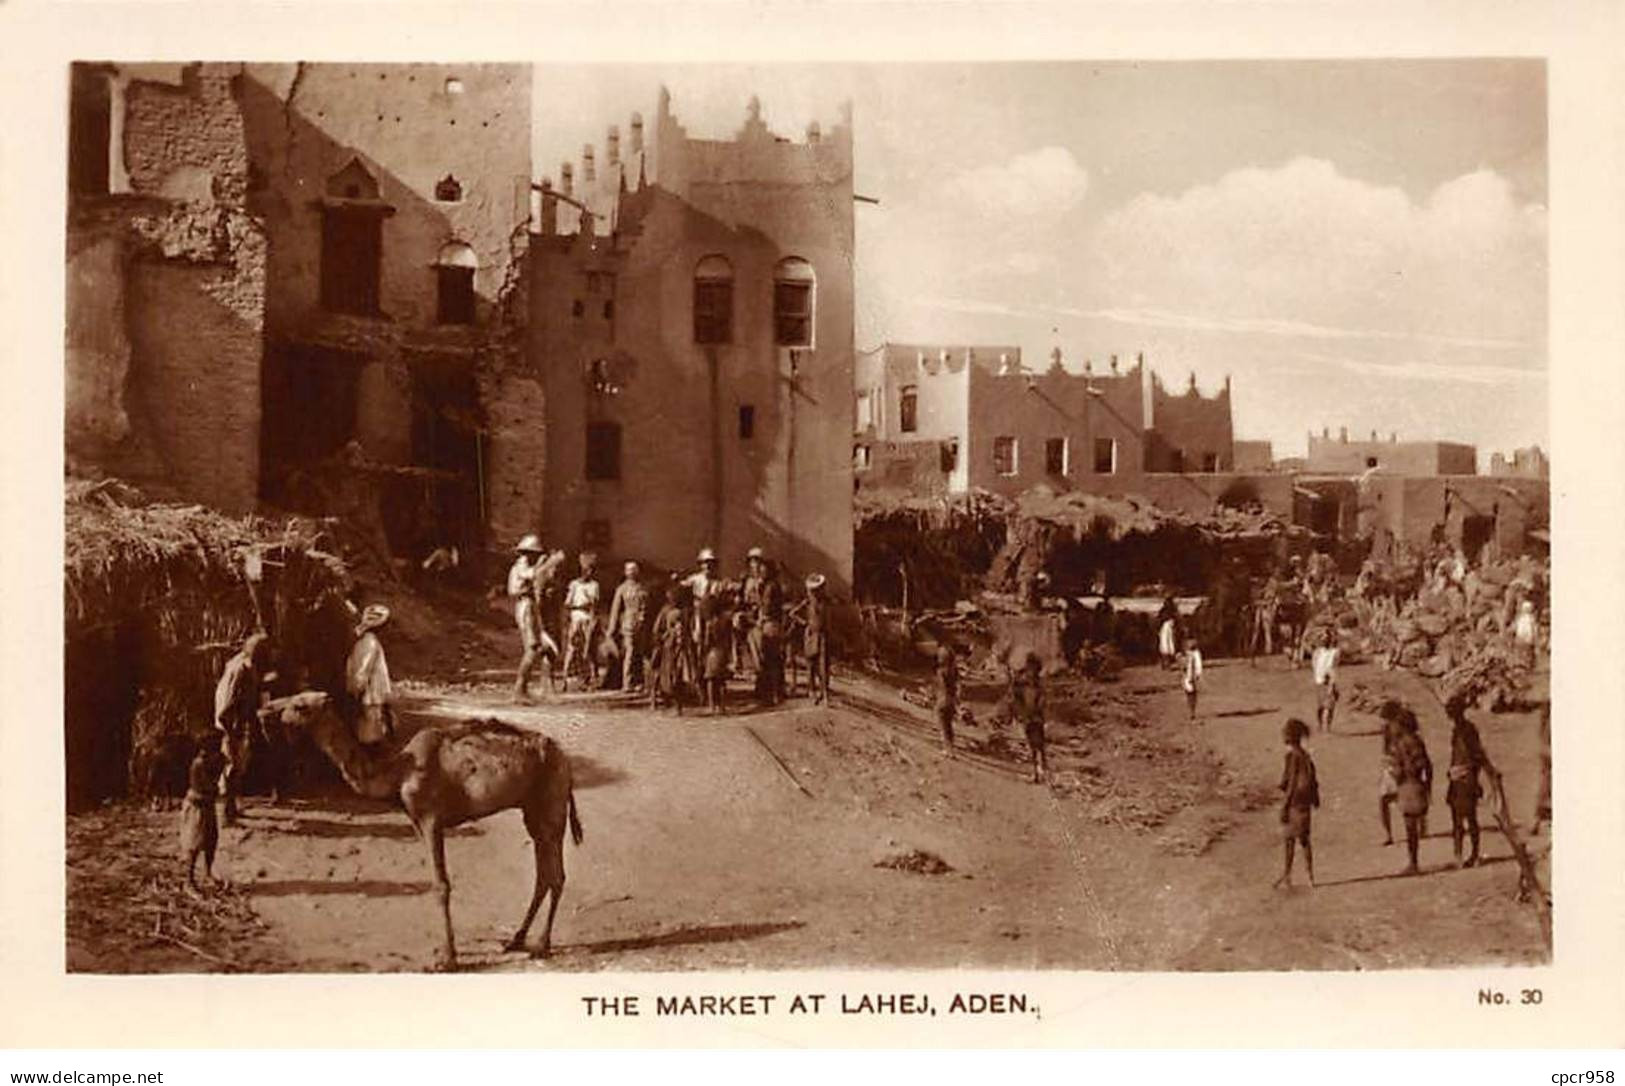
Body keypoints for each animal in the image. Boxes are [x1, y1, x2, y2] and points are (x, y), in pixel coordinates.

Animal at [266, 692, 591, 968]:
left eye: (300, 706)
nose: (273, 714)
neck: (398, 772)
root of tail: (565, 761)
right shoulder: (417, 823)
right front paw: (444, 952)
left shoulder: (431, 819)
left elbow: (441, 885)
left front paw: (447, 958)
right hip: (533, 811)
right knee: (543, 875)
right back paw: (516, 940)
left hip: (551, 805)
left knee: (555, 875)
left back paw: (542, 945)